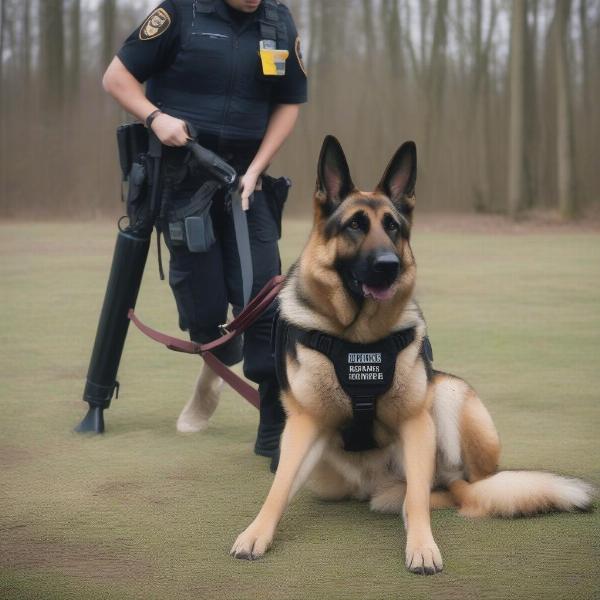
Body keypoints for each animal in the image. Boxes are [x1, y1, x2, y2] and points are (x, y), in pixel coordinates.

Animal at [229, 135, 592, 572]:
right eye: (355, 225)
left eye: (393, 227)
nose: (389, 265)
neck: (359, 339)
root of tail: (371, 484)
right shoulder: (304, 424)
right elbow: (278, 488)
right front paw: (256, 533)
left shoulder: (416, 423)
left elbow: (417, 499)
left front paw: (422, 545)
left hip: (449, 395)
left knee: (455, 491)